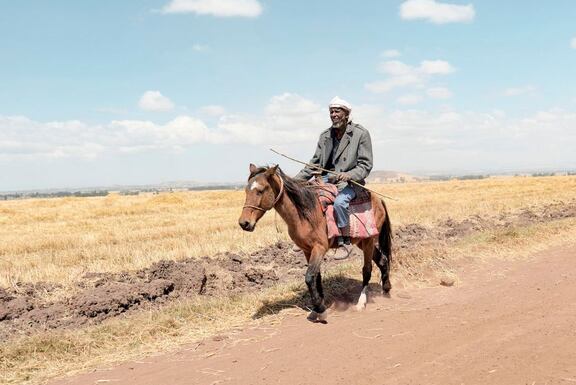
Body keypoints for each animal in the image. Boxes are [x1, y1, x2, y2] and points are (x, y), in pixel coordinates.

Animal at [237, 163, 392, 320]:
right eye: (246, 190)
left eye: (260, 190)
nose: (244, 223)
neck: (305, 213)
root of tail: (379, 200)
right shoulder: (307, 249)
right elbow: (316, 276)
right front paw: (319, 306)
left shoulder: (320, 248)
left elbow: (309, 277)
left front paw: (319, 308)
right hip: (361, 241)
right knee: (382, 260)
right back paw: (386, 290)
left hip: (369, 240)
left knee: (367, 269)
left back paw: (361, 302)